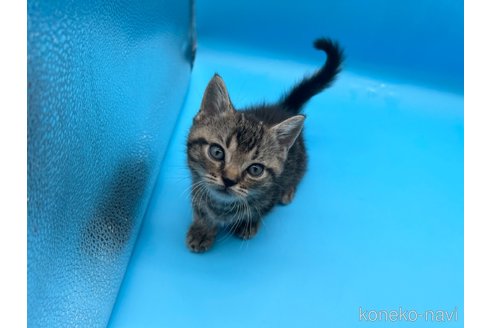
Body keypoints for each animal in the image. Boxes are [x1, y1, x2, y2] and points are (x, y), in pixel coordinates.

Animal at [184, 39, 342, 254]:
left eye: (255, 169)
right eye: (217, 152)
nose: (229, 180)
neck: (222, 206)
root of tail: (283, 108)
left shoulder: (270, 195)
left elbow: (258, 210)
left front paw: (248, 223)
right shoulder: (196, 184)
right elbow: (200, 209)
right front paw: (202, 229)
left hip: (299, 160)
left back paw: (288, 191)